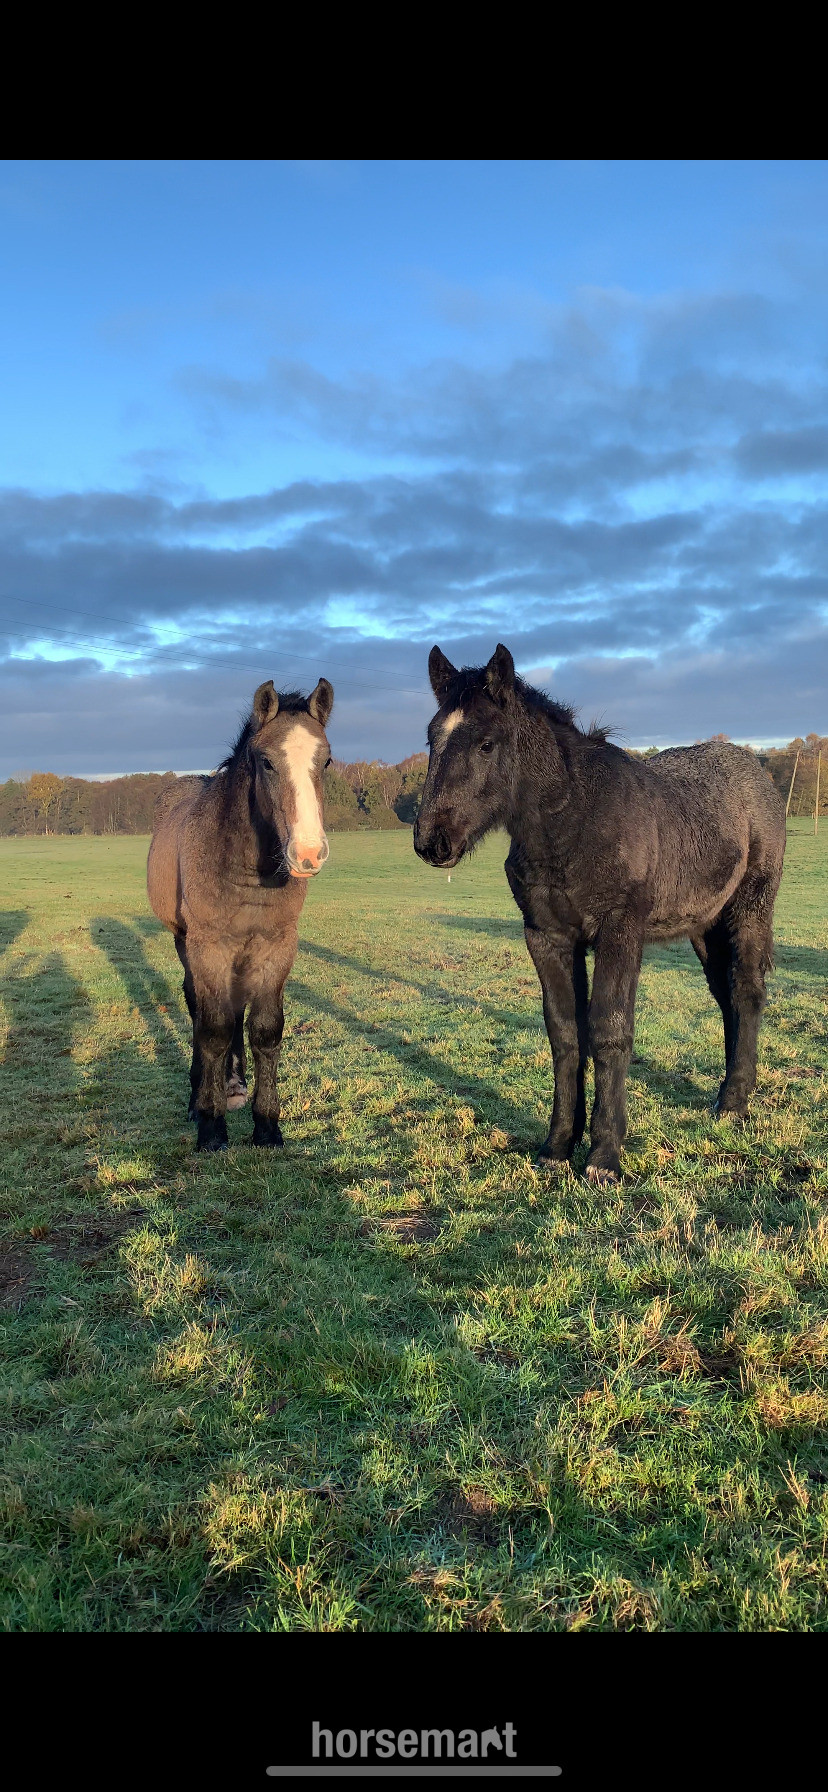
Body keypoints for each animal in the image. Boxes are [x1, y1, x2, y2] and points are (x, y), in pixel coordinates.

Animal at [147, 677, 334, 1151]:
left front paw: (267, 1125)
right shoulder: (209, 945)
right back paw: (202, 1097)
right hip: (184, 941)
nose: (308, 853)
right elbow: (213, 1027)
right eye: (266, 762)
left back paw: (234, 1085)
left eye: (326, 760)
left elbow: (265, 1029)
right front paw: (211, 1125)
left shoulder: (276, 945)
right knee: (197, 1005)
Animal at [414, 644, 786, 1185]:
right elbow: (566, 1034)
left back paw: (736, 1102)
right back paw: (725, 1093)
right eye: (431, 738)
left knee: (747, 991)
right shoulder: (547, 937)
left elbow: (610, 1031)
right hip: (706, 927)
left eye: (486, 743)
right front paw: (556, 1147)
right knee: (726, 996)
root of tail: (757, 771)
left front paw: (605, 1156)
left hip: (750, 910)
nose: (431, 841)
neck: (573, 823)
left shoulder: (619, 933)